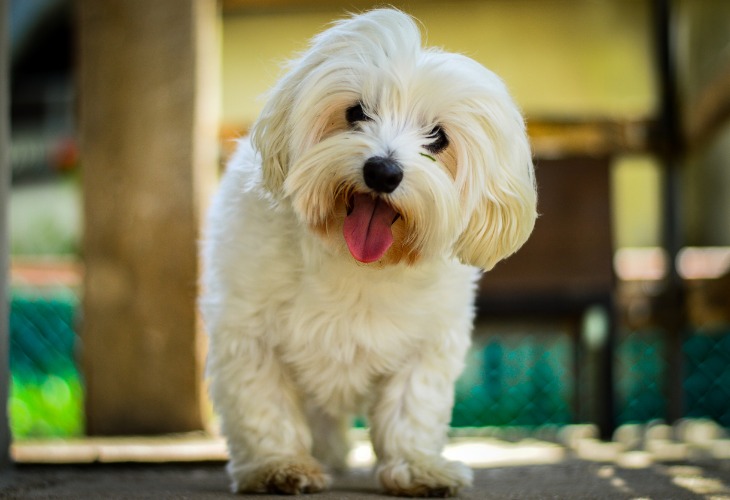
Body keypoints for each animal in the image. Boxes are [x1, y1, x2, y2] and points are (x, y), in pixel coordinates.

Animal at [199, 7, 536, 496]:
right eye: (356, 112)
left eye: (438, 137)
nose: (383, 171)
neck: (356, 264)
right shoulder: (247, 333)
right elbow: (263, 405)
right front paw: (278, 465)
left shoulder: (428, 342)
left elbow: (413, 406)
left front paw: (417, 466)